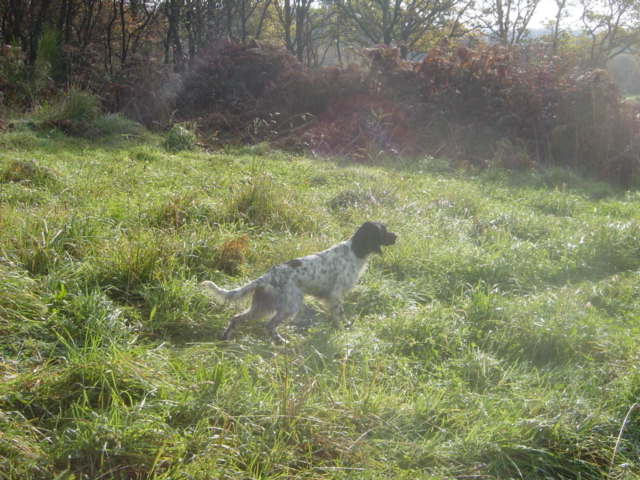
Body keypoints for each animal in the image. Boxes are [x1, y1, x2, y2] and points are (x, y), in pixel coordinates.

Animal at [202, 223, 398, 344]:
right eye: (383, 230)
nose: (397, 236)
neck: (356, 250)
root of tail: (267, 276)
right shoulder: (336, 295)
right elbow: (340, 314)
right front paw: (343, 328)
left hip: (262, 307)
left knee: (236, 318)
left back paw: (225, 337)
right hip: (290, 306)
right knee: (269, 325)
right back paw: (280, 341)